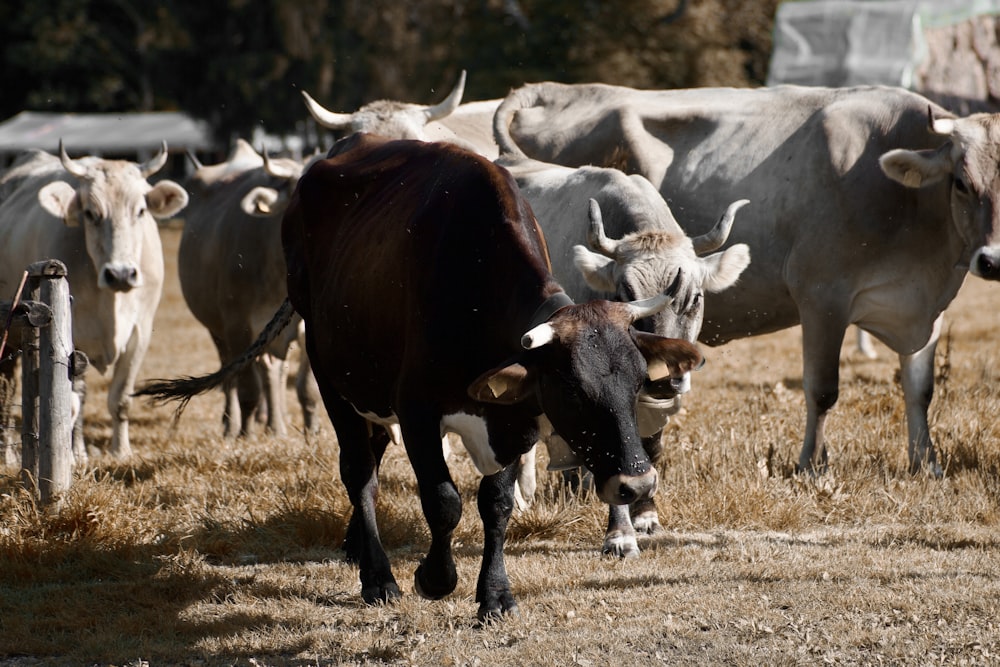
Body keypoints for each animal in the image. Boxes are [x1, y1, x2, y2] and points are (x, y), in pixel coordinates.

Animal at [0, 144, 188, 462]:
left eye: (140, 210)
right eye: (90, 213)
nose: (121, 273)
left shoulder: (140, 334)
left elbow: (121, 398)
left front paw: (121, 452)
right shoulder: (73, 334)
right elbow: (74, 398)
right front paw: (76, 454)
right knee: (7, 390)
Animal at [178, 141, 320, 438]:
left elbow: (307, 385)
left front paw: (312, 430)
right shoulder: (237, 325)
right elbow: (246, 386)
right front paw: (245, 433)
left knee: (274, 372)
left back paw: (276, 424)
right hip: (218, 330)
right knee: (231, 373)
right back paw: (232, 424)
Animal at [492, 122, 752, 556]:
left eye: (694, 297)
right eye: (625, 293)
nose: (665, 378)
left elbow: (649, 444)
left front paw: (646, 513)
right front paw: (619, 533)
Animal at [498, 82, 1000, 474]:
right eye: (961, 182)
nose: (992, 260)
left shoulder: (926, 306)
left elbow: (920, 389)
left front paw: (926, 463)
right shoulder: (822, 296)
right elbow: (823, 390)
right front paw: (811, 466)